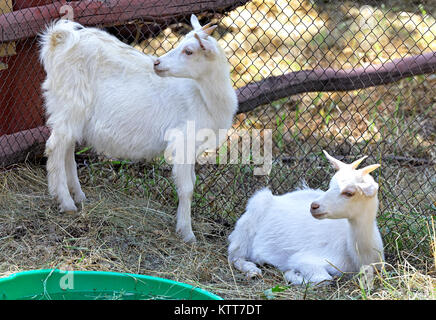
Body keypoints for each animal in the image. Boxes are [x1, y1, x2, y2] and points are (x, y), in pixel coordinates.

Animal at [40, 14, 238, 240]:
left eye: (189, 51)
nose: (157, 63)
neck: (204, 97)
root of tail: (58, 39)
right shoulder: (183, 140)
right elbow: (187, 188)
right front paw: (187, 233)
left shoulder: (193, 147)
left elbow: (191, 181)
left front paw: (182, 226)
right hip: (70, 102)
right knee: (55, 147)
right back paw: (66, 202)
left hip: (71, 111)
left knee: (67, 148)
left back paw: (78, 195)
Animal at [228, 151, 384, 284]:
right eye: (330, 184)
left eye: (349, 192)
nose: (314, 206)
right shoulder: (305, 259)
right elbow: (323, 278)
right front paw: (292, 273)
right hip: (249, 222)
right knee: (234, 256)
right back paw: (252, 270)